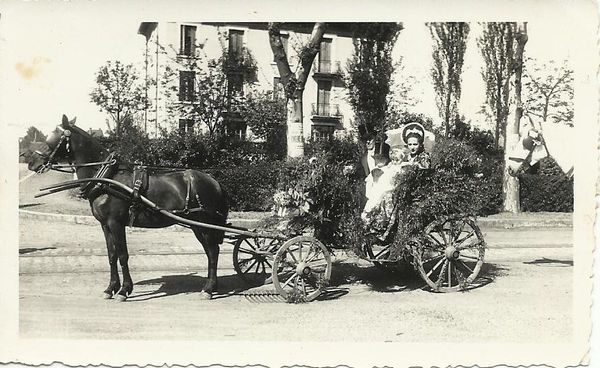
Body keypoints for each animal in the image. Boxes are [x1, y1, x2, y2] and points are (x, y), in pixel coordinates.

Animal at [25, 115, 229, 302]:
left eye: (53, 137)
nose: (32, 162)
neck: (107, 178)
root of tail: (214, 181)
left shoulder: (116, 223)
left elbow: (123, 255)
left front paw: (124, 290)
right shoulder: (105, 225)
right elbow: (112, 255)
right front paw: (110, 288)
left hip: (202, 224)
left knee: (212, 251)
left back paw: (208, 289)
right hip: (198, 226)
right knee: (211, 251)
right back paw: (212, 286)